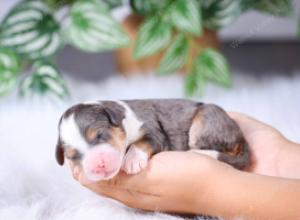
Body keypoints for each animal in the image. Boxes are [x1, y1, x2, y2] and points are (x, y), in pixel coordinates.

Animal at [56, 99, 251, 181]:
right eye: (72, 156)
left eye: (100, 135)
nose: (98, 166)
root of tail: (241, 136)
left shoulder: (155, 132)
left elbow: (142, 142)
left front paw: (132, 161)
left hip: (206, 120)